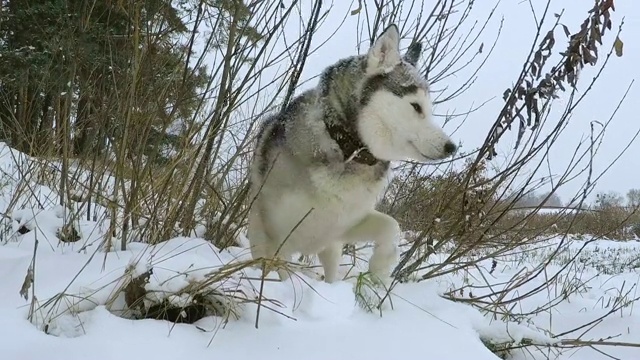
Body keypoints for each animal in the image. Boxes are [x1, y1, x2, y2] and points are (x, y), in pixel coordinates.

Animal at [248, 24, 458, 284]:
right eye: (416, 106)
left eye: (429, 109)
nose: (451, 147)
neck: (347, 148)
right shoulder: (279, 235)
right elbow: (283, 273)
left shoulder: (342, 226)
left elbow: (391, 225)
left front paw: (380, 269)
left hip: (330, 250)